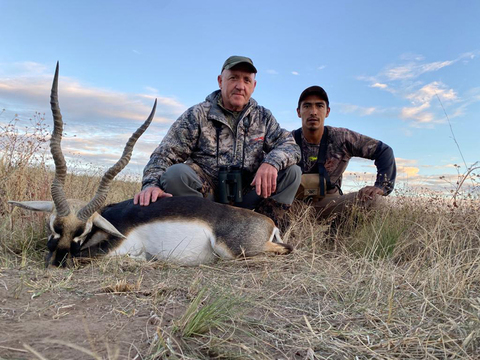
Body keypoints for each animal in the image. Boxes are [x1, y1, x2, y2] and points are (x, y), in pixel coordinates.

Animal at [8, 63, 292, 268]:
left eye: (82, 231)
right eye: (54, 226)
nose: (57, 261)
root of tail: (268, 223)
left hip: (232, 250)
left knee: (286, 249)